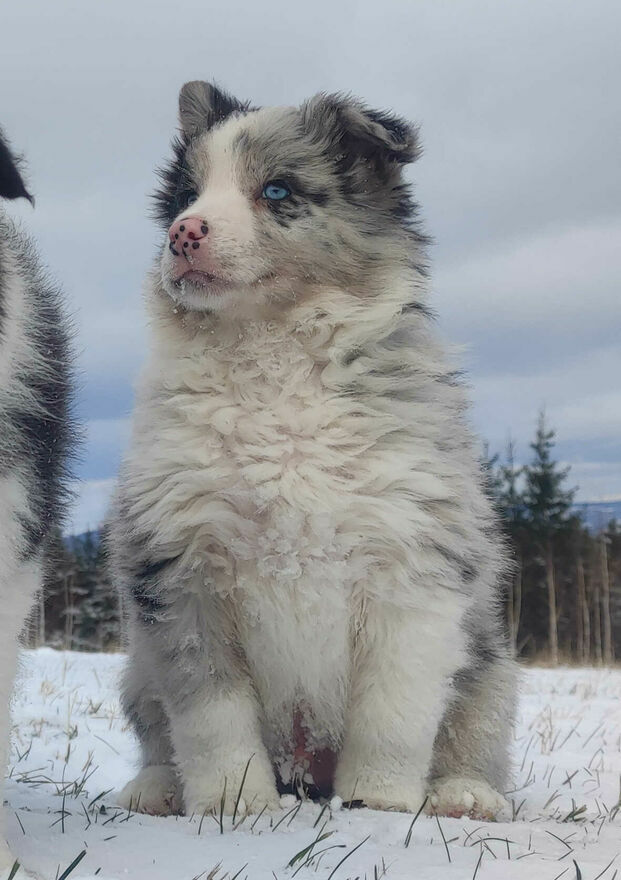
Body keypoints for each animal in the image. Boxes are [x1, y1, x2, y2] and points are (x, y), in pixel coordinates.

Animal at [112, 81, 516, 821]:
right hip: (136, 670)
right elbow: (211, 713)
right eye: (186, 193)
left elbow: (394, 711)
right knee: (159, 732)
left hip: (492, 672)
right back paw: (157, 788)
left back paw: (464, 795)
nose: (183, 233)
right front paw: (235, 804)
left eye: (276, 191)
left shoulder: (411, 564)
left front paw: (380, 805)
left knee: (472, 736)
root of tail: (306, 770)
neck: (272, 354)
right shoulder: (181, 567)